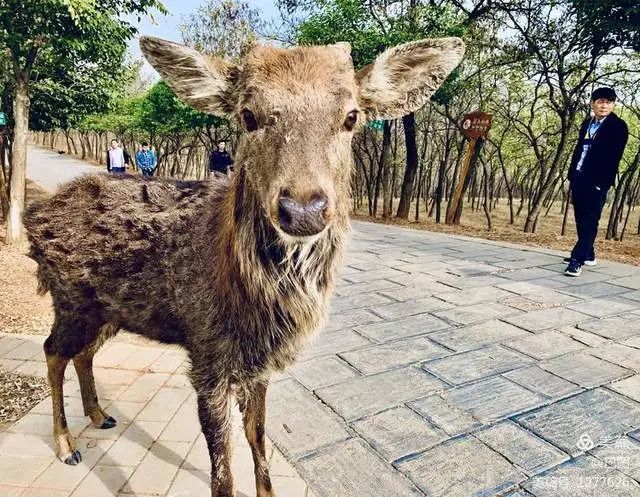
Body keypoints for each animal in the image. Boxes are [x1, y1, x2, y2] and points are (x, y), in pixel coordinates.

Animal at [23, 35, 464, 496]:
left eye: (351, 116)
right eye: (248, 115)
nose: (302, 209)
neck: (254, 309)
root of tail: (33, 217)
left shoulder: (258, 364)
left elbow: (257, 434)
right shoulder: (207, 352)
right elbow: (222, 467)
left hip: (107, 311)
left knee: (83, 354)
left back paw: (99, 415)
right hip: (70, 300)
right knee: (52, 350)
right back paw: (66, 444)